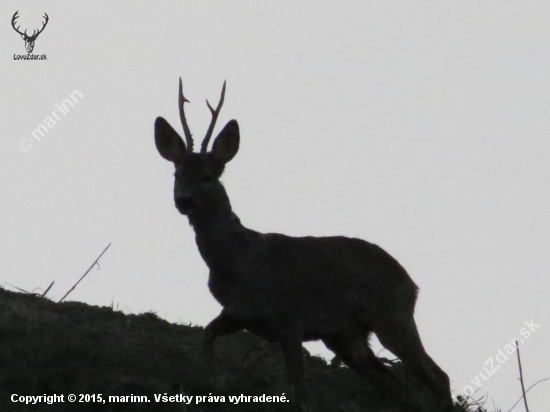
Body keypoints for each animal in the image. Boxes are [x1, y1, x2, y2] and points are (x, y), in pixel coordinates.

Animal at [156, 79, 458, 410]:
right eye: (176, 174)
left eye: (208, 176)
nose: (183, 200)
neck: (239, 260)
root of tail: (412, 283)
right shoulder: (237, 313)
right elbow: (207, 337)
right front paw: (209, 380)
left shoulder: (288, 317)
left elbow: (298, 389)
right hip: (346, 336)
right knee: (392, 385)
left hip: (392, 315)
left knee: (439, 377)